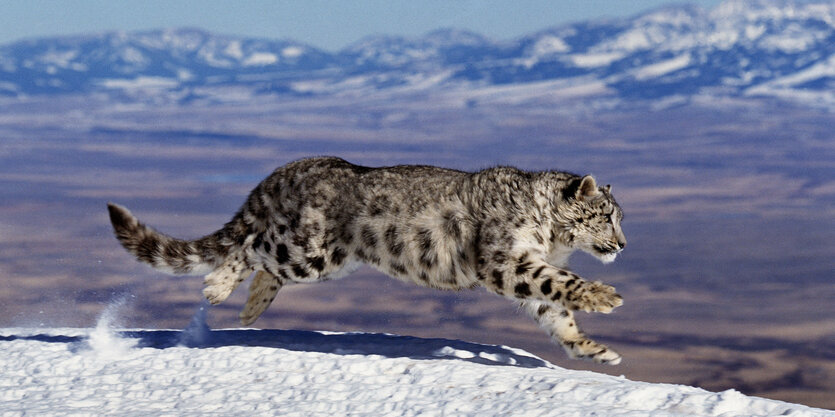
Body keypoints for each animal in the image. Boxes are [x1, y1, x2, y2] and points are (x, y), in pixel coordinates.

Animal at [106, 156, 628, 364]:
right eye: (606, 216)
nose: (623, 245)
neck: (550, 238)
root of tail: (296, 166)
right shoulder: (505, 261)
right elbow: (559, 282)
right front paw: (604, 296)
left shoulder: (522, 268)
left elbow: (553, 310)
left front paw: (592, 349)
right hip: (309, 249)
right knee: (252, 245)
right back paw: (218, 288)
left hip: (320, 258)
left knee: (262, 261)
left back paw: (251, 307)